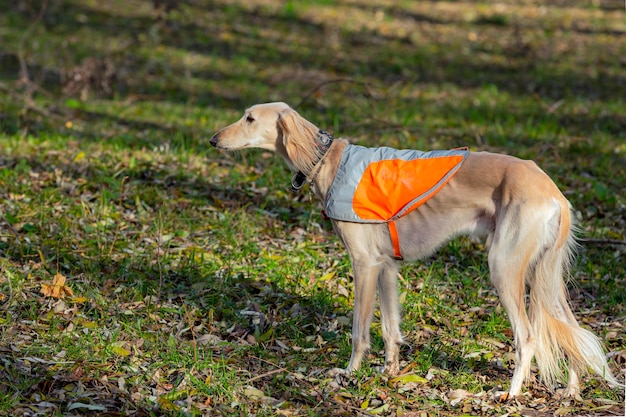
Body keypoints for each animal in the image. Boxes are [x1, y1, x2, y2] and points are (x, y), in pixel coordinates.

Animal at [207, 101, 616, 396]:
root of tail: (555, 191)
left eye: (249, 118)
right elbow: (390, 328)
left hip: (504, 266)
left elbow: (359, 332)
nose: (212, 139)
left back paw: (511, 394)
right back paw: (571, 390)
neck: (328, 161)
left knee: (529, 337)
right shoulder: (387, 267)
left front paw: (348, 374)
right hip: (542, 275)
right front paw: (389, 373)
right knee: (572, 331)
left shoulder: (364, 264)